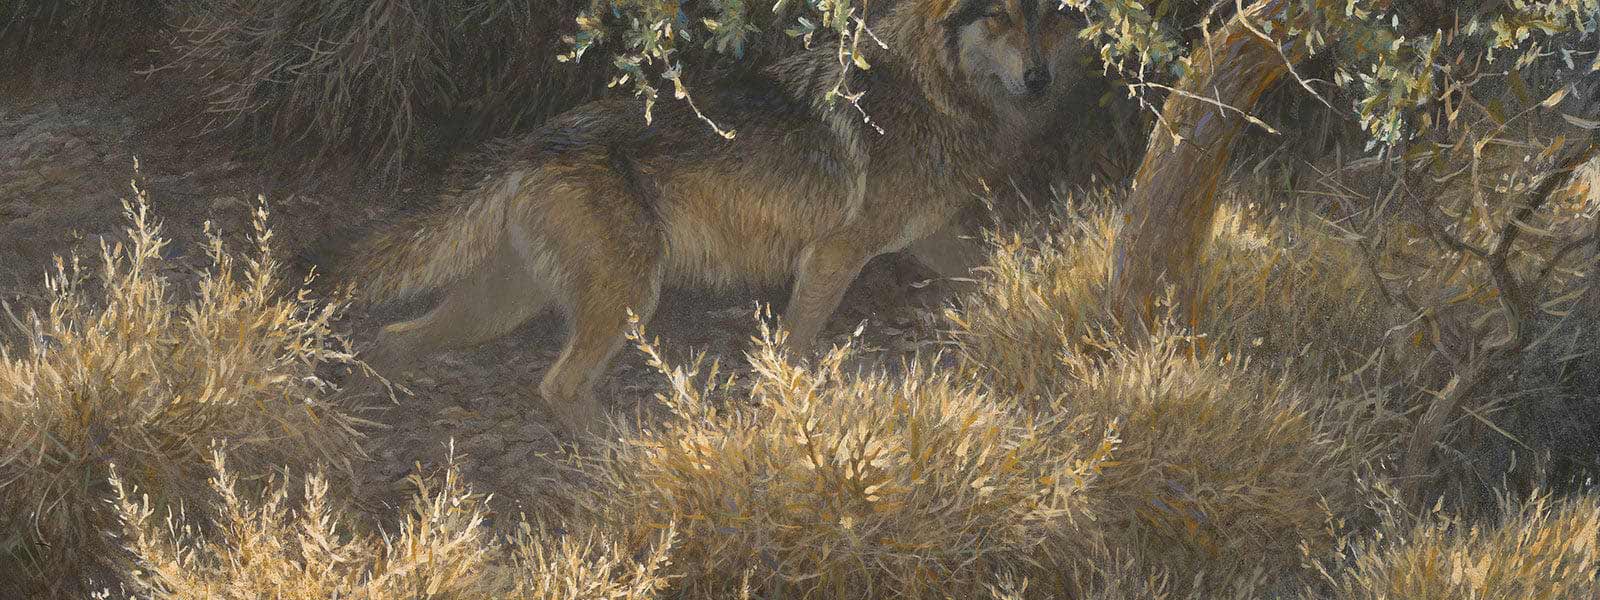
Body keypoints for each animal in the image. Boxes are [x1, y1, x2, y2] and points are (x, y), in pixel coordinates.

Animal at [347, 0, 1075, 435]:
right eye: (999, 17)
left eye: (1047, 18)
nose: (1042, 80)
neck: (936, 91)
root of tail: (537, 139)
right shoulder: (833, 255)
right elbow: (795, 348)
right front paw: (786, 412)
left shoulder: (929, 239)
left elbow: (998, 269)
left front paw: (1035, 306)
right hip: (627, 300)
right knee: (557, 385)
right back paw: (625, 460)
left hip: (506, 305)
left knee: (396, 337)